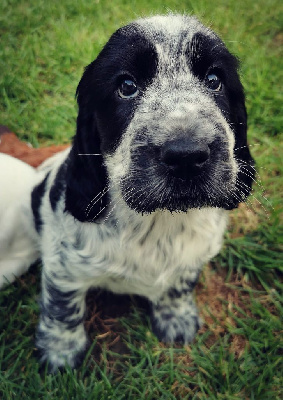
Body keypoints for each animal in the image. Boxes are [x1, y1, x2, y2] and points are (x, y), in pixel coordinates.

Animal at [28, 14, 255, 372]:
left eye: (214, 80)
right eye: (127, 86)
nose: (186, 156)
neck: (157, 222)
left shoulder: (195, 254)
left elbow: (179, 284)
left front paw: (176, 319)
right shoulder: (62, 262)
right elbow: (62, 306)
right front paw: (60, 353)